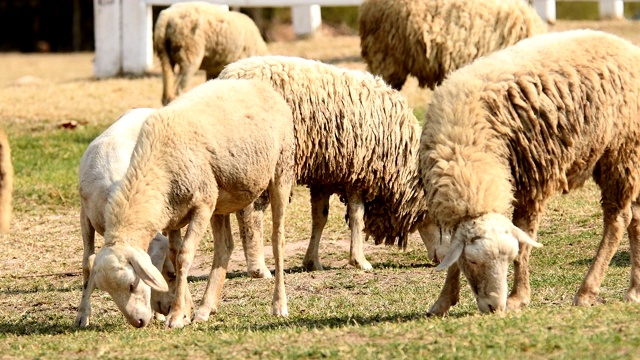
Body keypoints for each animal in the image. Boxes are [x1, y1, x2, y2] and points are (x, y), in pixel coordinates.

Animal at [90, 79, 296, 330]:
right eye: (109, 292)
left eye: (132, 284)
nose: (138, 323)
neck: (157, 167)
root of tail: (256, 84)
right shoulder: (173, 215)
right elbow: (174, 255)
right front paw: (186, 312)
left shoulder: (202, 205)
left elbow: (185, 256)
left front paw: (177, 315)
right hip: (221, 197)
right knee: (224, 247)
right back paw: (206, 308)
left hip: (281, 170)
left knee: (278, 239)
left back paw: (279, 305)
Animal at [218, 55, 442, 278]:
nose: (442, 262)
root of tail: (227, 75)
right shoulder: (357, 171)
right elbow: (357, 216)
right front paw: (359, 261)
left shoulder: (324, 175)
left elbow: (320, 217)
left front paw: (312, 262)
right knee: (251, 213)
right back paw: (259, 269)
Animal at [418, 29, 640, 316]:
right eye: (473, 261)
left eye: (507, 258)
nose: (495, 307)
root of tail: (628, 47)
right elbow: (453, 259)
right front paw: (443, 300)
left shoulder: (532, 183)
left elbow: (524, 242)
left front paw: (518, 297)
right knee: (636, 217)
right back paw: (634, 291)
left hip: (621, 150)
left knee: (618, 220)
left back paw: (586, 291)